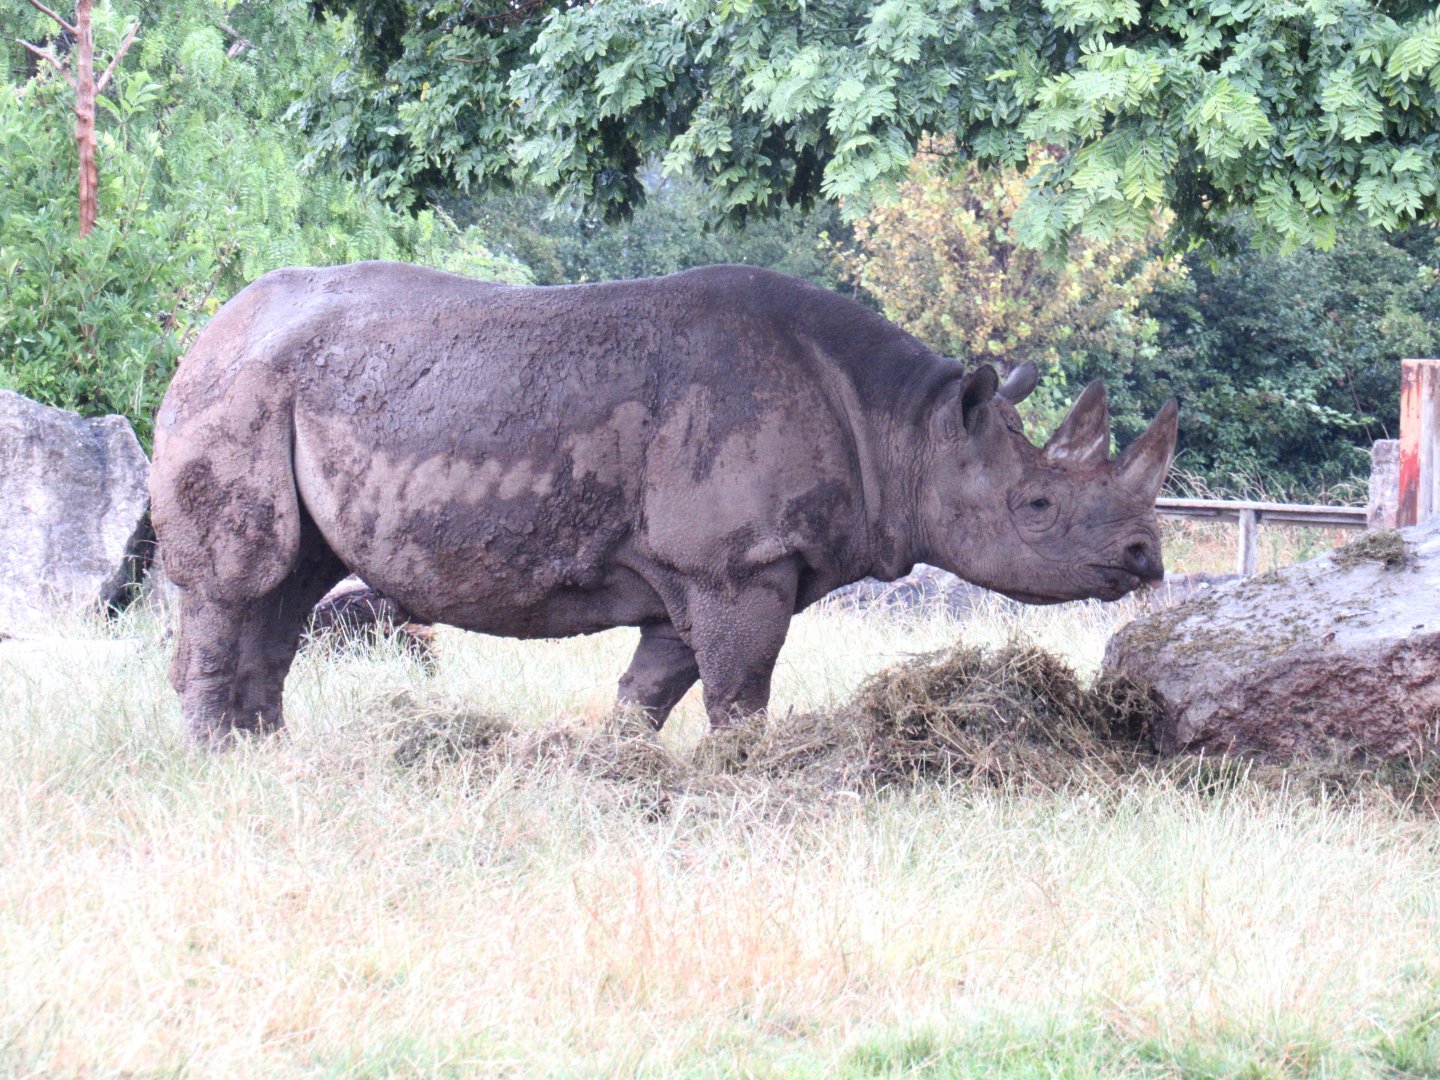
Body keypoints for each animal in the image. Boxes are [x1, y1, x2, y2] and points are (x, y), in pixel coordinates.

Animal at [150, 262, 1177, 745]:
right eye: (1037, 506)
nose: (1146, 559)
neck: (908, 427)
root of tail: (209, 331)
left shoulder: (708, 568)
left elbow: (652, 686)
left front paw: (616, 768)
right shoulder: (735, 562)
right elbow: (738, 689)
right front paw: (749, 779)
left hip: (286, 386)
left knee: (290, 583)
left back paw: (269, 757)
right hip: (239, 389)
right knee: (241, 581)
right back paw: (216, 764)